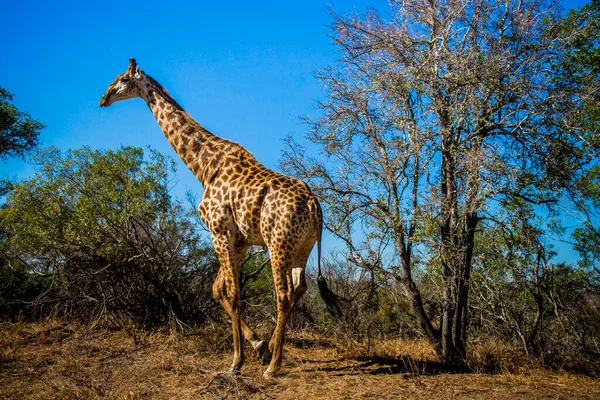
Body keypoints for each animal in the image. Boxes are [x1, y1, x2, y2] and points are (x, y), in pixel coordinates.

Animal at [101, 58, 340, 378]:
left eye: (124, 79)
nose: (103, 99)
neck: (203, 166)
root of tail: (315, 205)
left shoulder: (219, 231)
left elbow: (232, 293)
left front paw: (237, 362)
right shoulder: (239, 241)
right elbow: (218, 290)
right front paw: (258, 346)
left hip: (278, 243)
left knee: (283, 295)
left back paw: (273, 367)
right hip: (303, 247)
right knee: (299, 289)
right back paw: (273, 352)